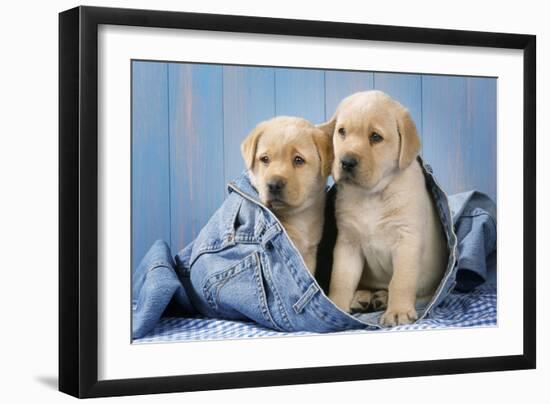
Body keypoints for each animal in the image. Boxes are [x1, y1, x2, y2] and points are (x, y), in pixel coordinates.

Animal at [322, 90, 450, 326]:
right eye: (341, 132)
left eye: (375, 137)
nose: (346, 162)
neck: (371, 196)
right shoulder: (348, 243)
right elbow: (341, 279)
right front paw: (337, 305)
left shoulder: (407, 240)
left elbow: (400, 281)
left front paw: (398, 311)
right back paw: (363, 297)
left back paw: (382, 298)